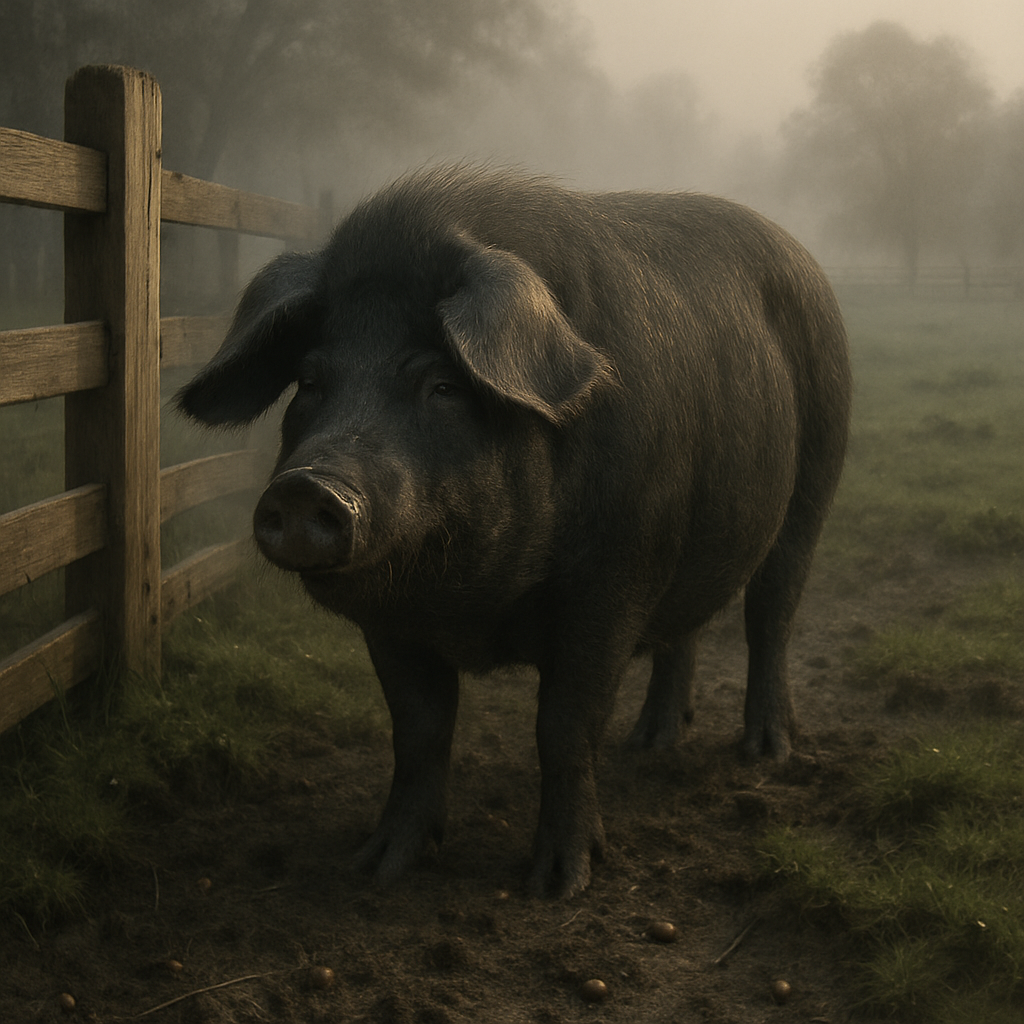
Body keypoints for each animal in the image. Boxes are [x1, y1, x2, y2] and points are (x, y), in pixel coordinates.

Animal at [178, 166, 851, 897]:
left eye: (443, 384)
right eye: (308, 381)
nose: (306, 487)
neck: (471, 609)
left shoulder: (612, 584)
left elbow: (564, 726)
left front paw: (556, 885)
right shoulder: (391, 621)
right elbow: (417, 728)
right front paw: (377, 865)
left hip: (816, 478)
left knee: (771, 615)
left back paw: (765, 753)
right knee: (686, 628)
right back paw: (651, 742)